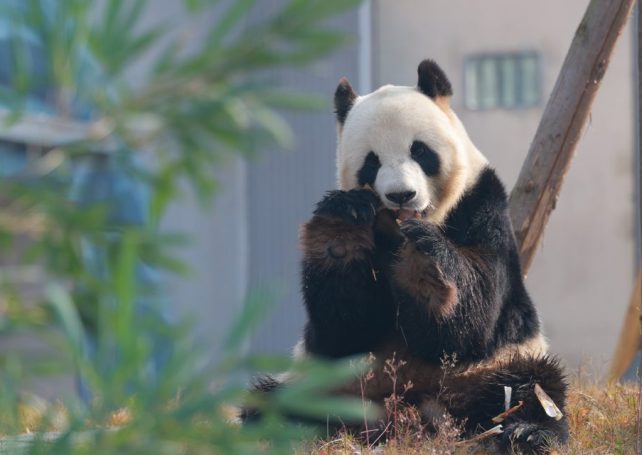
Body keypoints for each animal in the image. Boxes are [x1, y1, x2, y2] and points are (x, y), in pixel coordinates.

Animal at [250, 59, 568, 454]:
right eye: (371, 162)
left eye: (420, 151)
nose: (401, 194)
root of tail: (407, 412)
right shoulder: (336, 343)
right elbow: (343, 329)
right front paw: (341, 233)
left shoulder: (483, 205)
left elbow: (474, 318)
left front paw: (427, 269)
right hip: (327, 382)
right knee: (274, 402)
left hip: (492, 368)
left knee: (531, 388)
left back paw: (527, 432)